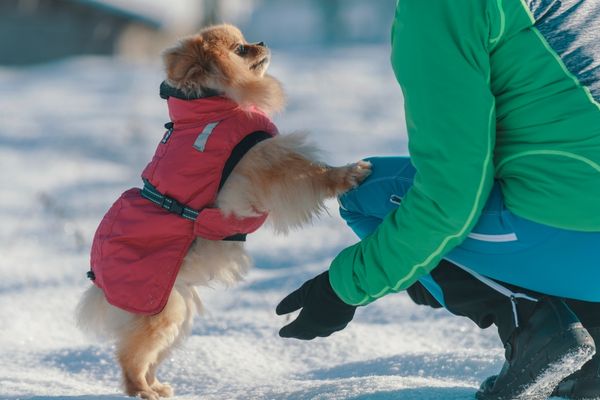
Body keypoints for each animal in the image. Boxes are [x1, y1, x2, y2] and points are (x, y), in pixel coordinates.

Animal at [75, 23, 370, 398]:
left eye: (246, 42)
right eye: (240, 49)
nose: (261, 42)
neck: (212, 105)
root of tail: (97, 281)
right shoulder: (270, 161)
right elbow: (315, 172)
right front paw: (348, 174)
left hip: (179, 306)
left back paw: (158, 386)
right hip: (162, 310)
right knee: (131, 356)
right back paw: (142, 389)